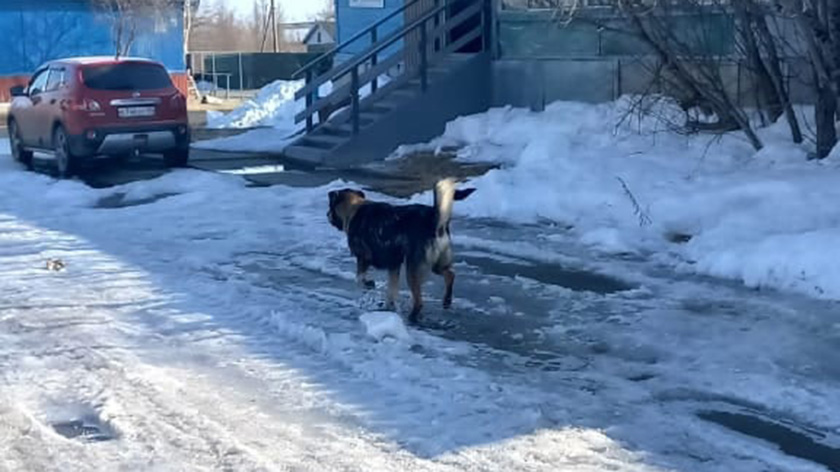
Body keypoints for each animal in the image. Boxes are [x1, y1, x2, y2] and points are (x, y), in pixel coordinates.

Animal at [326, 179, 476, 322]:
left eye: (330, 207)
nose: (327, 215)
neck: (354, 208)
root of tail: (435, 220)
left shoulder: (363, 258)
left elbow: (359, 278)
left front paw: (369, 284)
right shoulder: (394, 264)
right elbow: (391, 291)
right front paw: (389, 307)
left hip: (413, 268)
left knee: (419, 301)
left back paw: (413, 316)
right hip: (437, 262)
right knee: (450, 274)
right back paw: (446, 301)